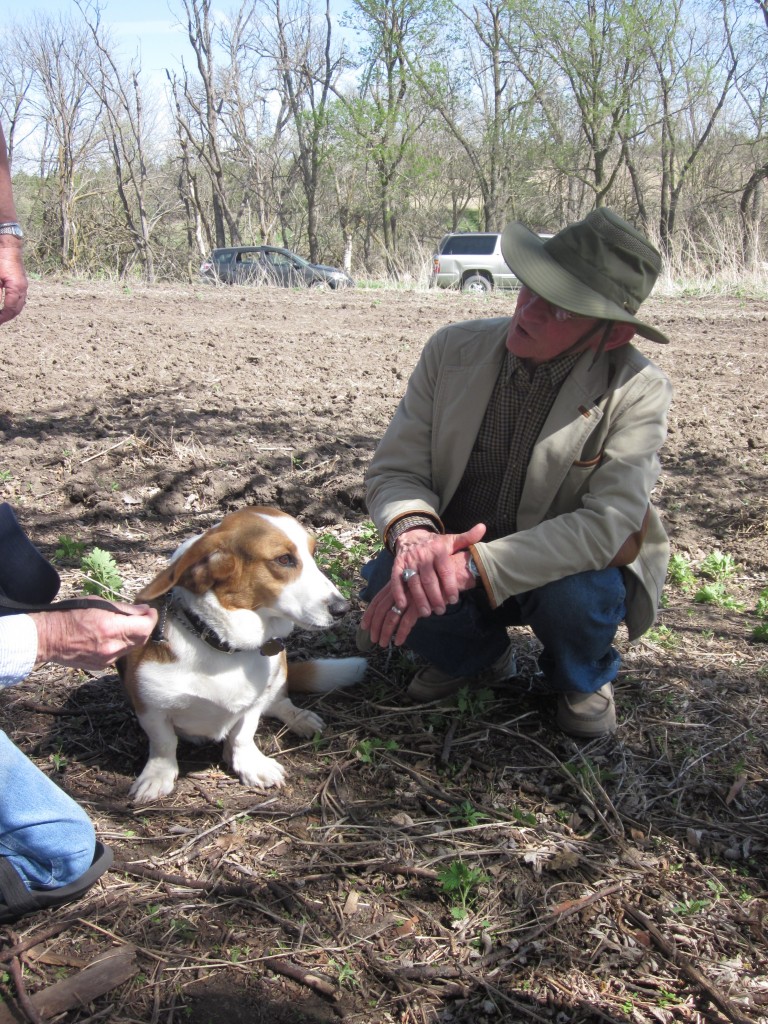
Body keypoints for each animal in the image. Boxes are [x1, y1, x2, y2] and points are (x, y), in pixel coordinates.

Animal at [121, 507, 368, 802]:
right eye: (284, 559)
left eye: (313, 552)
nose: (343, 608)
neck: (223, 646)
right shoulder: (149, 707)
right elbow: (164, 744)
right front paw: (157, 776)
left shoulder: (252, 704)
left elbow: (243, 734)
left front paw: (250, 765)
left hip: (280, 667)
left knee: (278, 702)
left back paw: (299, 718)